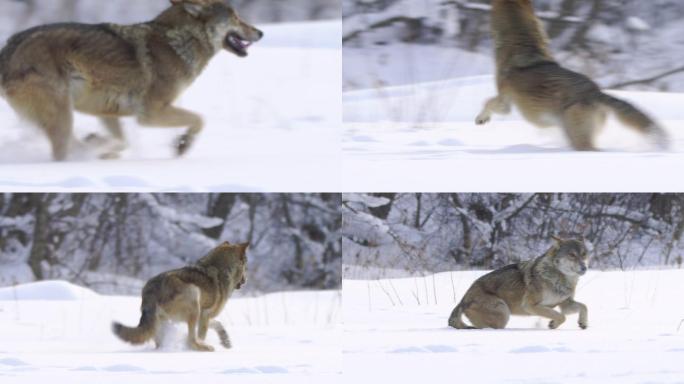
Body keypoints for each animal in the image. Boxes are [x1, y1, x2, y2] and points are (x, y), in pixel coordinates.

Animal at [0, 0, 264, 160]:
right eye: (236, 17)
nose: (261, 32)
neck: (180, 41)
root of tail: (8, 48)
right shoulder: (150, 113)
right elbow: (200, 119)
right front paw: (182, 145)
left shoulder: (107, 112)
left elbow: (121, 142)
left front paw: (101, 148)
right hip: (62, 116)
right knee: (62, 154)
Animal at [113, 242, 250, 352]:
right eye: (245, 266)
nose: (245, 281)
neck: (222, 269)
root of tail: (151, 289)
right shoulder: (204, 315)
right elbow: (203, 334)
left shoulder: (205, 316)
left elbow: (218, 324)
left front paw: (226, 341)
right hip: (194, 297)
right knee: (191, 340)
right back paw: (204, 348)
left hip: (163, 322)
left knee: (158, 342)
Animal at [448, 237, 588, 330]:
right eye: (571, 255)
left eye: (584, 254)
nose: (584, 268)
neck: (560, 278)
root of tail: (463, 300)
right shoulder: (530, 305)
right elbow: (561, 316)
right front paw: (553, 324)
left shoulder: (565, 304)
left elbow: (584, 306)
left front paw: (583, 323)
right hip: (503, 311)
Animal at [476, 0, 668, 152]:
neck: (521, 44)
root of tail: (595, 91)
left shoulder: (505, 102)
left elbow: (487, 101)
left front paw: (481, 119)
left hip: (577, 137)